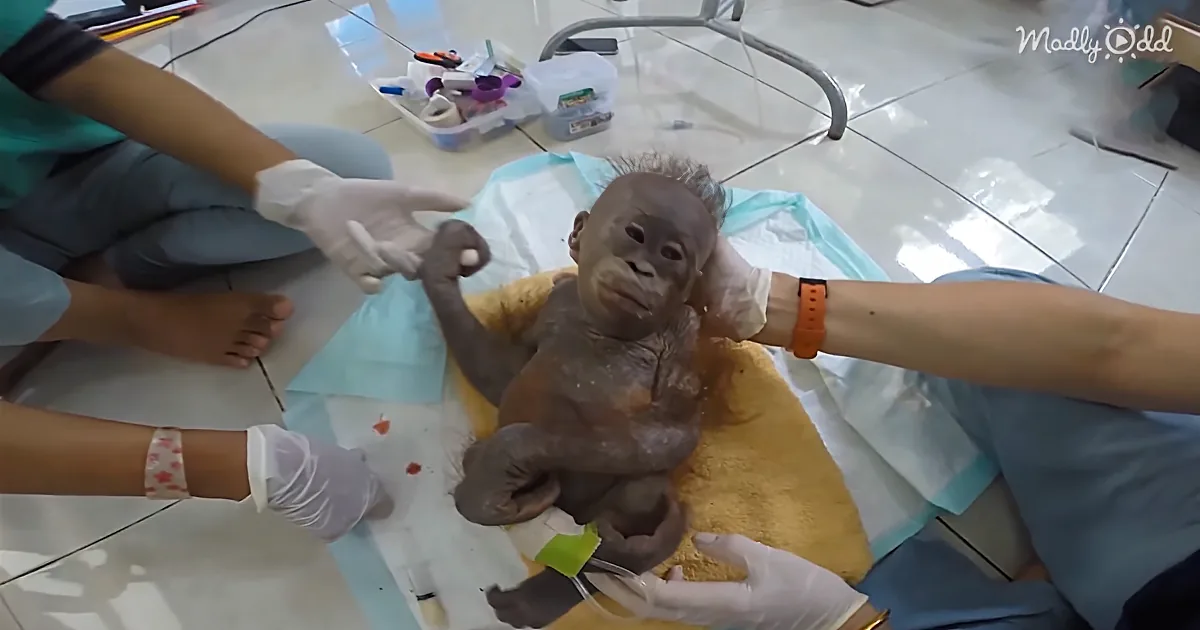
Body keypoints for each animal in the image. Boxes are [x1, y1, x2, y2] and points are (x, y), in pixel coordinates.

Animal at [417, 153, 727, 628]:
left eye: (672, 255)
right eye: (635, 234)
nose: (643, 269)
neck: (604, 325)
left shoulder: (685, 333)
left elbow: (674, 428)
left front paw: (509, 458)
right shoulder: (555, 299)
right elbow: (507, 375)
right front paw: (443, 264)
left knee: (640, 493)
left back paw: (554, 589)